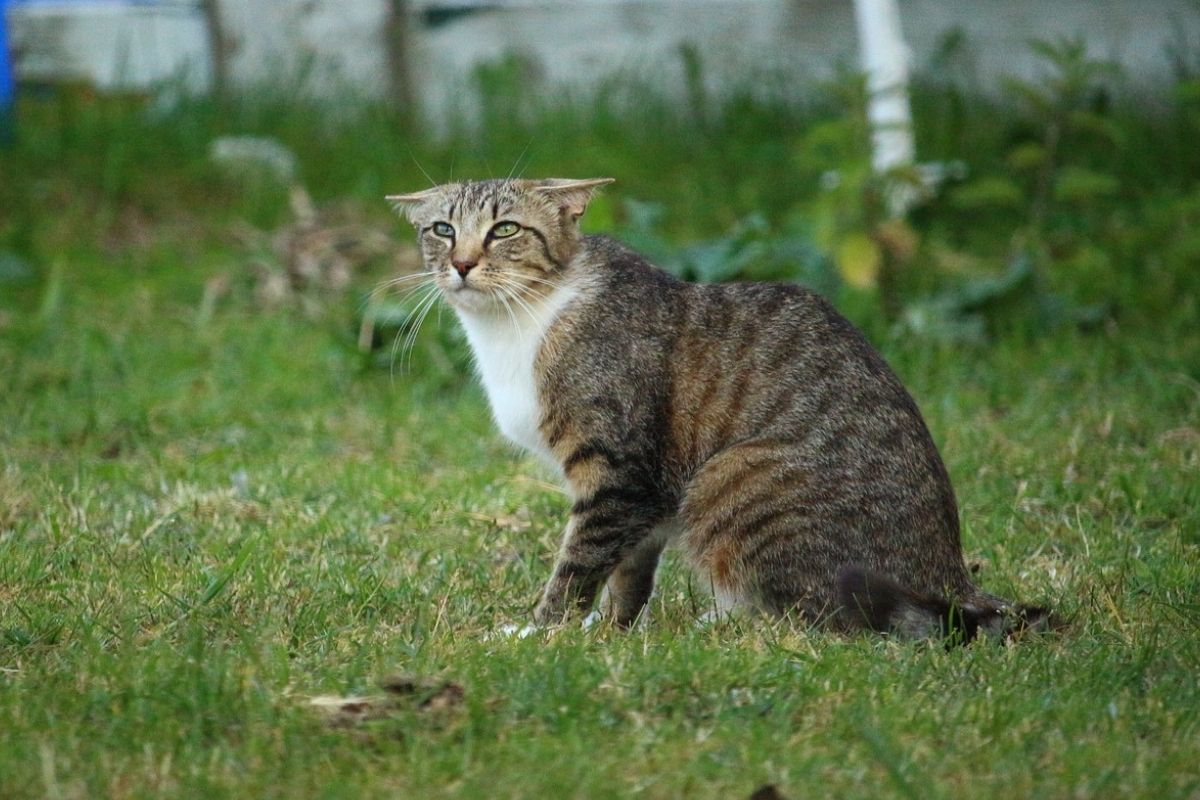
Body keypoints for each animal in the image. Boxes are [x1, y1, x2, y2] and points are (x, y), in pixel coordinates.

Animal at [386, 178, 1051, 642]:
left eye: (505, 230)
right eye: (442, 229)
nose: (462, 263)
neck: (519, 319)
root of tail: (954, 579)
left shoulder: (619, 471)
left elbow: (578, 564)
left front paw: (542, 631)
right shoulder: (648, 494)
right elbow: (627, 572)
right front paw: (611, 632)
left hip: (729, 478)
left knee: (820, 619)